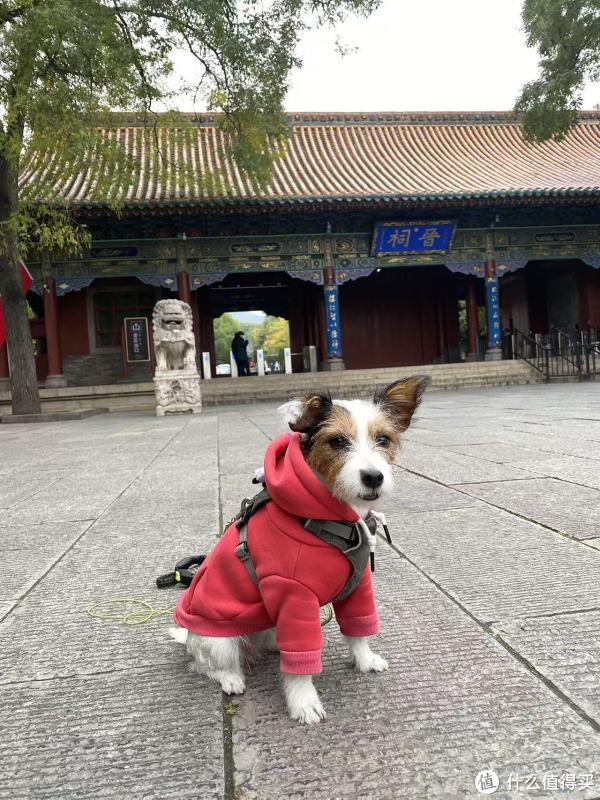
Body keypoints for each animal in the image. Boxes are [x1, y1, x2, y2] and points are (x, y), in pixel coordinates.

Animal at [170, 376, 429, 724]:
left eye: (384, 439)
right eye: (337, 441)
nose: (374, 477)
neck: (330, 520)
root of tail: (189, 636)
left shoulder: (358, 587)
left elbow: (358, 630)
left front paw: (364, 660)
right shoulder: (293, 595)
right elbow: (299, 666)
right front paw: (303, 702)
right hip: (218, 640)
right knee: (207, 664)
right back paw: (231, 678)